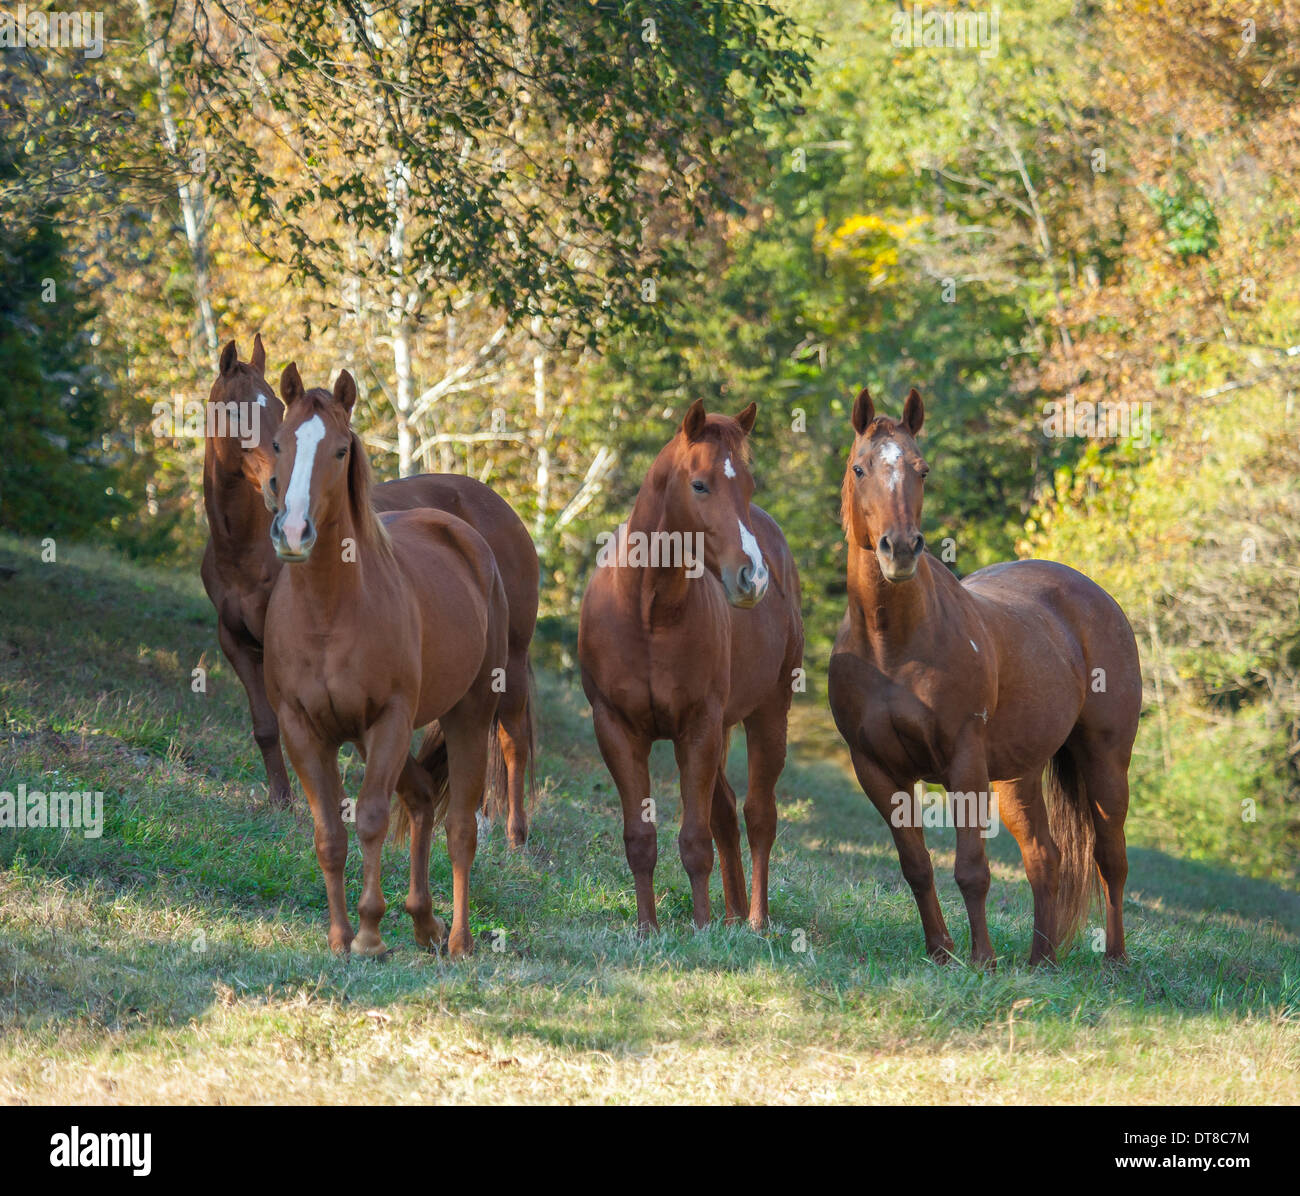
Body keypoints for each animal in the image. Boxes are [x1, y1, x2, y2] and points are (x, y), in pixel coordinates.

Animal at [200, 335, 535, 842]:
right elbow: (265, 727)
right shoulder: (235, 642)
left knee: (511, 736)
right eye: (236, 412)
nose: (277, 491)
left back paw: (516, 836)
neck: (245, 547)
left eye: (275, 408)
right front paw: (281, 802)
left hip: (509, 661)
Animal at [263, 358, 506, 956]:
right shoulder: (303, 729)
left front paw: (370, 934)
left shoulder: (389, 720)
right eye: (279, 442)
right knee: (420, 798)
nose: (294, 531)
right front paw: (338, 937)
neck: (329, 612)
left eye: (340, 450)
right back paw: (423, 921)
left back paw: (458, 940)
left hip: (469, 715)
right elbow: (329, 834)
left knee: (460, 827)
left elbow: (371, 819)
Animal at [579, 403, 800, 935]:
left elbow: (696, 839)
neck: (648, 611)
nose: (753, 577)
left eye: (749, 484)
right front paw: (647, 929)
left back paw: (755, 919)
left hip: (768, 714)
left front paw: (699, 927)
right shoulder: (615, 729)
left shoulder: (697, 728)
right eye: (700, 485)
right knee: (726, 813)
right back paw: (734, 913)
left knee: (758, 815)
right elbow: (640, 838)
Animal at [826, 387, 1144, 967]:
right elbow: (916, 866)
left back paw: (1114, 961)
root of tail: (1093, 595)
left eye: (922, 470)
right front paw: (940, 952)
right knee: (1046, 858)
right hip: (1017, 776)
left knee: (1111, 858)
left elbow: (972, 870)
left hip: (1105, 759)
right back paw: (1040, 962)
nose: (899, 549)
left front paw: (981, 962)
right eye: (860, 468)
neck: (891, 646)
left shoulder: (963, 761)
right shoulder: (877, 771)